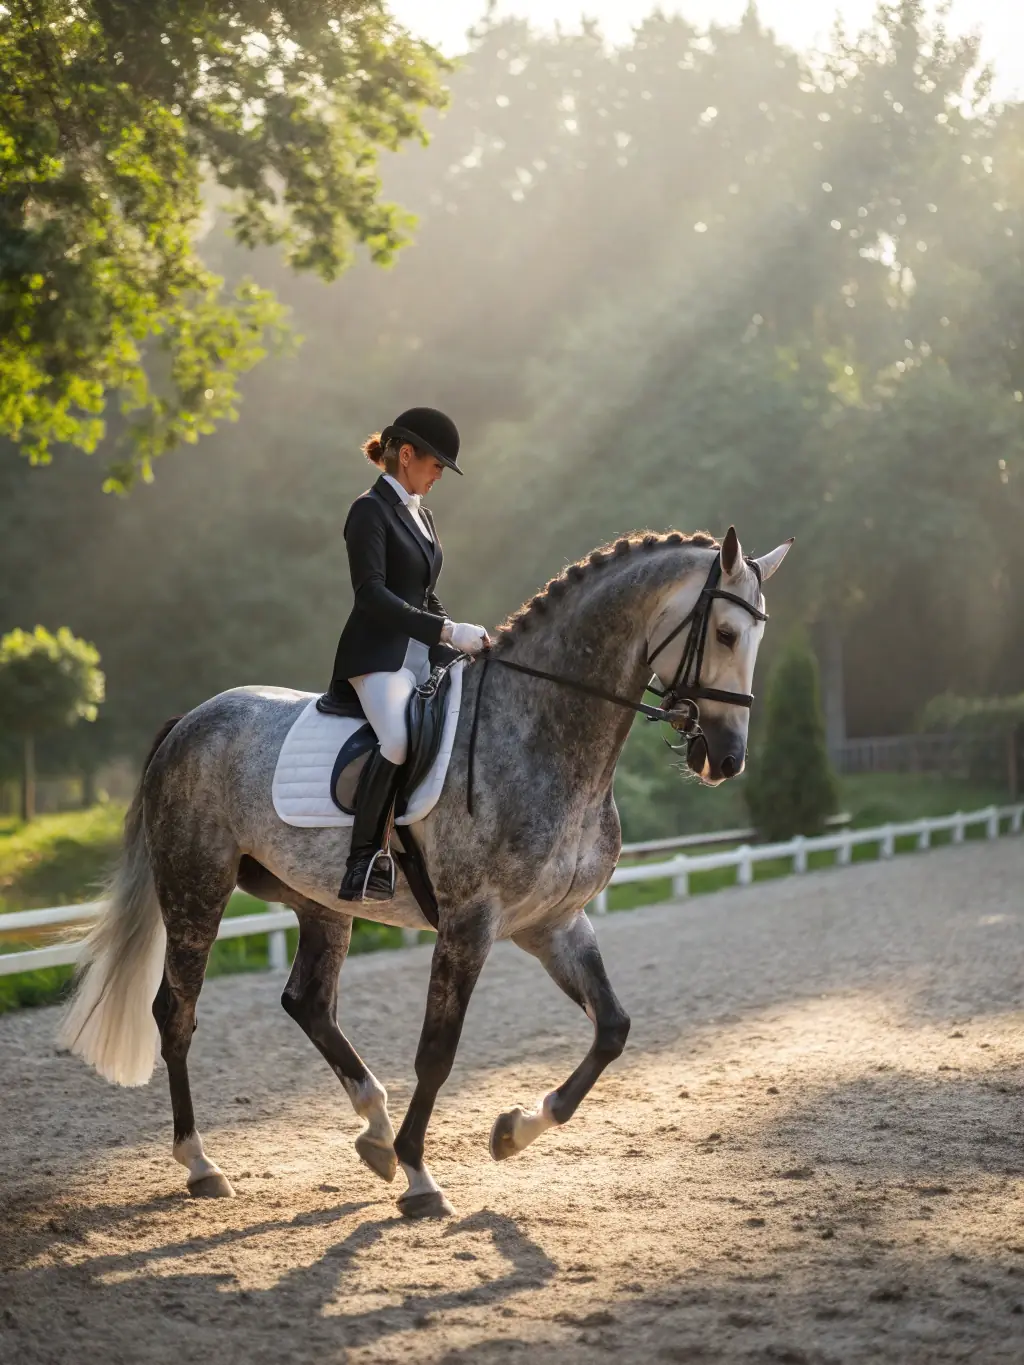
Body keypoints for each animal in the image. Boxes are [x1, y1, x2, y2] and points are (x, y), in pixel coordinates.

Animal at [60, 525, 791, 1219]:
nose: (724, 758)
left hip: (321, 901)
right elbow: (438, 1049)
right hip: (196, 888)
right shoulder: (470, 923)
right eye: (725, 633)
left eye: (756, 636)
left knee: (306, 1002)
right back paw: (203, 1163)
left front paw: (513, 1130)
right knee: (176, 1013)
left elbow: (612, 1028)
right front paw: (421, 1176)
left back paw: (375, 1131)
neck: (543, 731)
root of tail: (192, 719)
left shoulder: (555, 922)